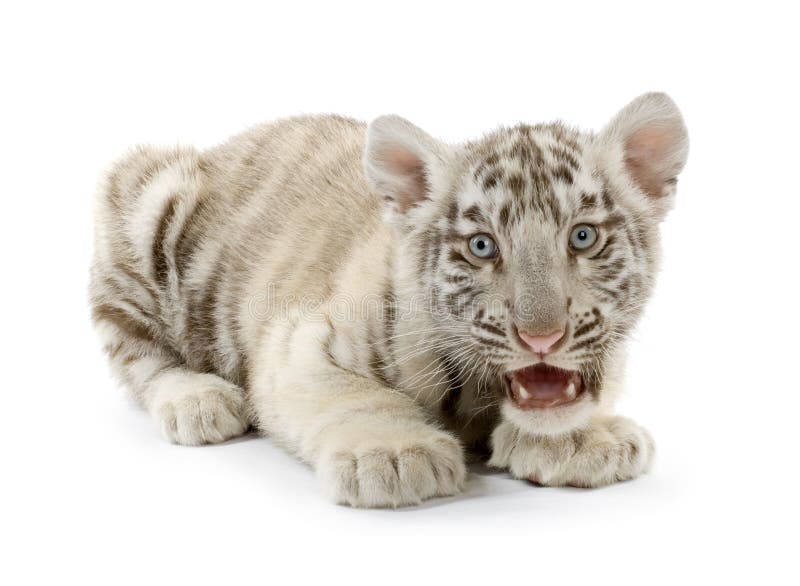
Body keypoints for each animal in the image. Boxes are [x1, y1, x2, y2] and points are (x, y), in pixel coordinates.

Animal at [90, 92, 688, 507]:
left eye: (583, 237)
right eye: (482, 246)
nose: (541, 336)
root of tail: (224, 144)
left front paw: (586, 437)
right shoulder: (300, 343)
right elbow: (354, 396)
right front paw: (396, 452)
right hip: (146, 197)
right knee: (137, 353)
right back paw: (197, 401)